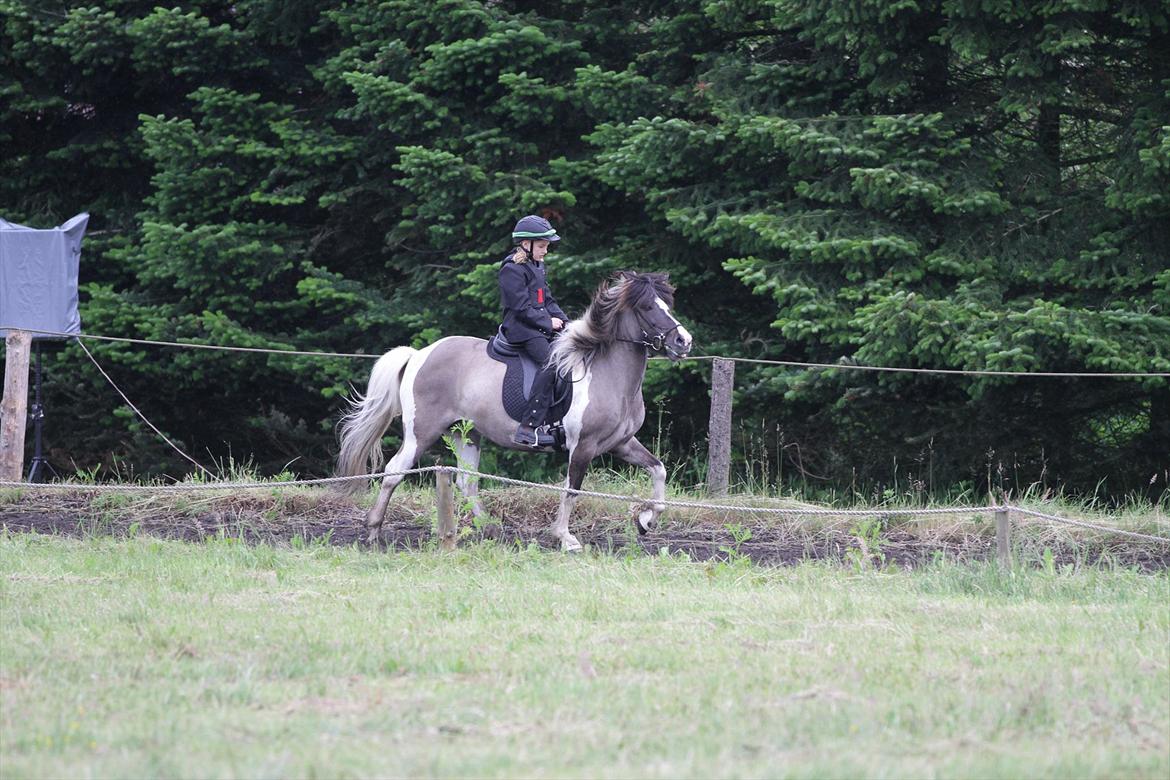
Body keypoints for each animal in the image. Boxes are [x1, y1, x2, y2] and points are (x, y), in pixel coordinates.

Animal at [334, 271, 687, 551]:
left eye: (668, 305)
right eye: (647, 307)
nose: (684, 342)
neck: (606, 371)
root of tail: (420, 354)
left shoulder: (620, 443)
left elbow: (659, 469)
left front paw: (646, 520)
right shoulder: (583, 446)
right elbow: (571, 489)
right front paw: (565, 537)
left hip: (466, 433)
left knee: (466, 482)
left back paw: (491, 528)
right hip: (422, 432)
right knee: (395, 472)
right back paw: (374, 531)